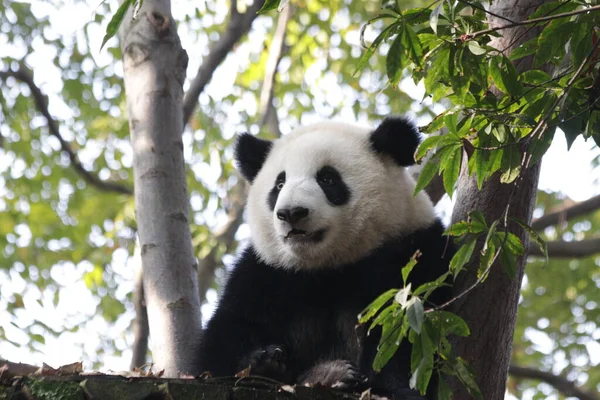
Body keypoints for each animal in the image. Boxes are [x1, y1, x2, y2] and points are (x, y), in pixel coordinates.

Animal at [199, 117, 452, 398]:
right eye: (279, 184)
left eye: (327, 178)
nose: (291, 213)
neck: (328, 264)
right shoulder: (267, 272)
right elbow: (222, 340)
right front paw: (261, 361)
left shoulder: (411, 252)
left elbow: (408, 333)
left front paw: (389, 386)